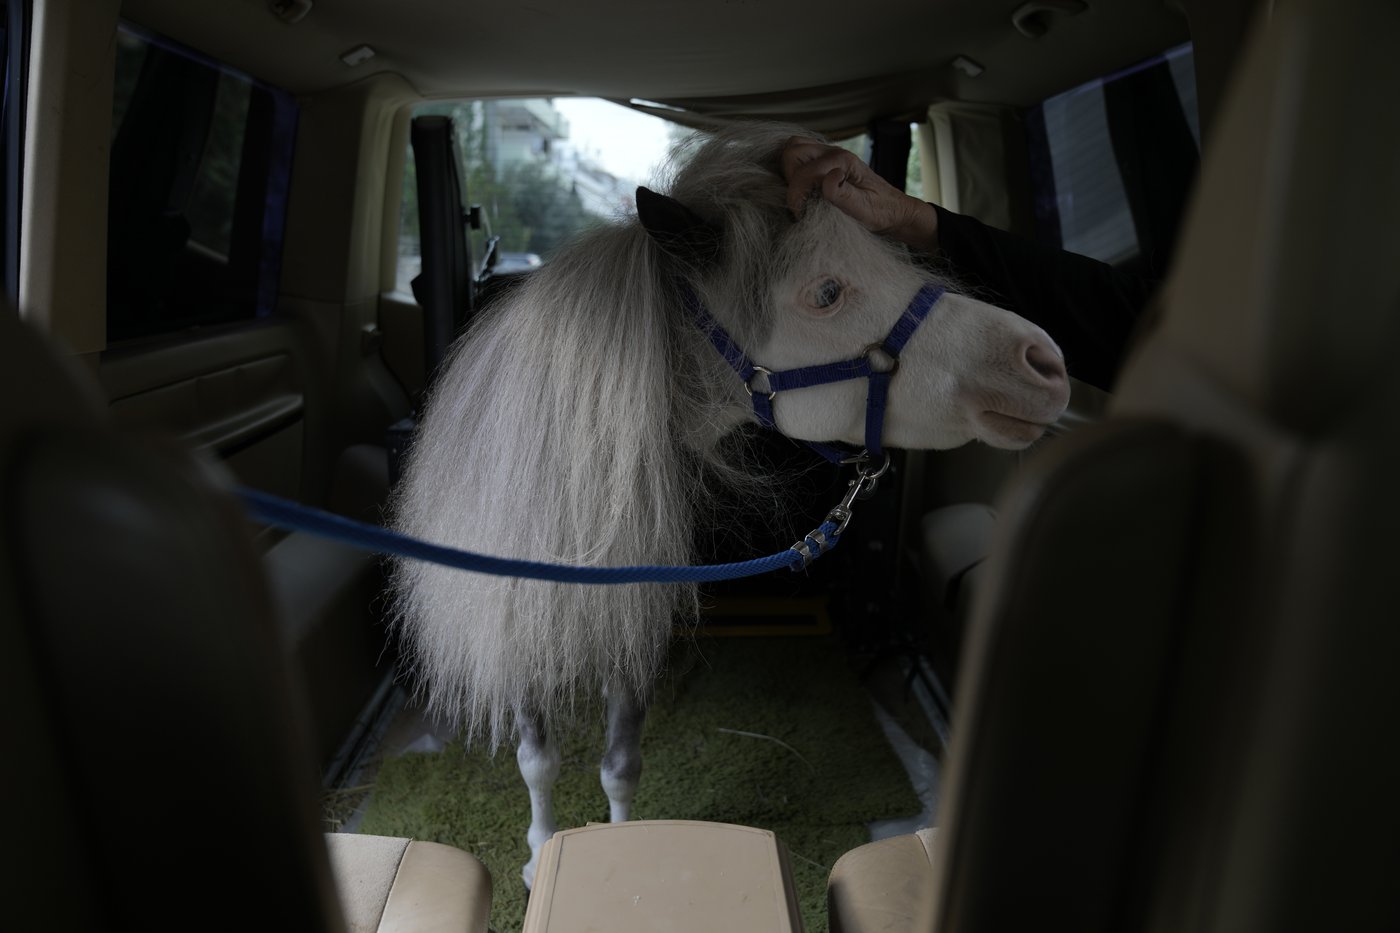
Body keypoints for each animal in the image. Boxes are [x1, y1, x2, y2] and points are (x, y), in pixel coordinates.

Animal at [388, 122, 1070, 886]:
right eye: (826, 291)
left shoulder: (631, 627)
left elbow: (620, 764)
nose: (1042, 362)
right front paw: (540, 854)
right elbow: (538, 761)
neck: (572, 494)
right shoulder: (516, 632)